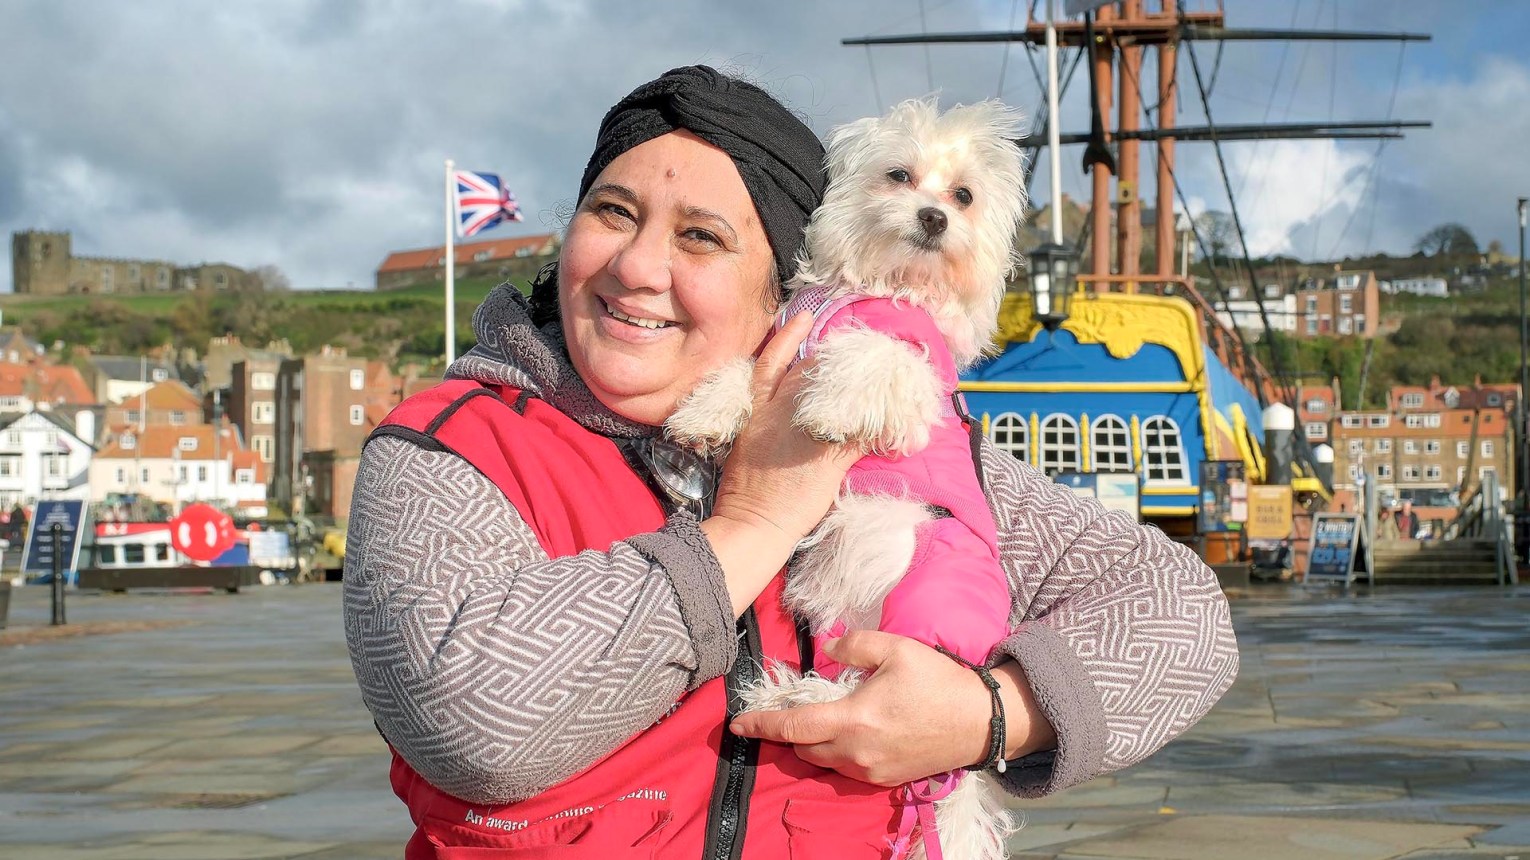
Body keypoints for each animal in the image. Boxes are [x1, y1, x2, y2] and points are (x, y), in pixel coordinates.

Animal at [670, 97, 1028, 850]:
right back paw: (783, 692)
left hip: (923, 601)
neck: (884, 284)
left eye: (963, 196)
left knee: (860, 689)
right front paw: (705, 413)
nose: (933, 217)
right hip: (841, 621)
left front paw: (827, 408)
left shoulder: (912, 365)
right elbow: (745, 371)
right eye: (899, 175)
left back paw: (794, 695)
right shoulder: (778, 344)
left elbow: (872, 352)